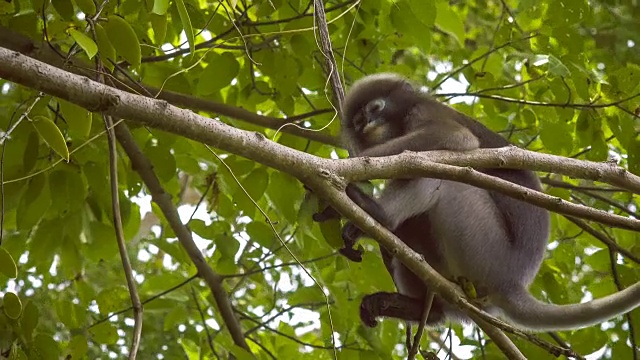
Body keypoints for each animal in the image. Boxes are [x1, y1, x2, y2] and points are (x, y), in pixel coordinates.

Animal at [314, 73, 640, 332]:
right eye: (358, 120)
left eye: (375, 107)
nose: (367, 124)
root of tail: (512, 283)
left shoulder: (423, 111)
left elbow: (457, 139)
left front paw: (349, 166)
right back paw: (419, 308)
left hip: (484, 251)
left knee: (444, 175)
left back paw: (377, 213)